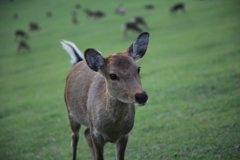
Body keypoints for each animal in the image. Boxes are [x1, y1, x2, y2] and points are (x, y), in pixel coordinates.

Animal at [61, 31, 149, 160]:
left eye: (138, 69)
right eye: (113, 75)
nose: (141, 96)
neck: (112, 129)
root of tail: (78, 61)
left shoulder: (125, 134)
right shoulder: (96, 134)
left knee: (86, 133)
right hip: (70, 113)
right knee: (74, 137)